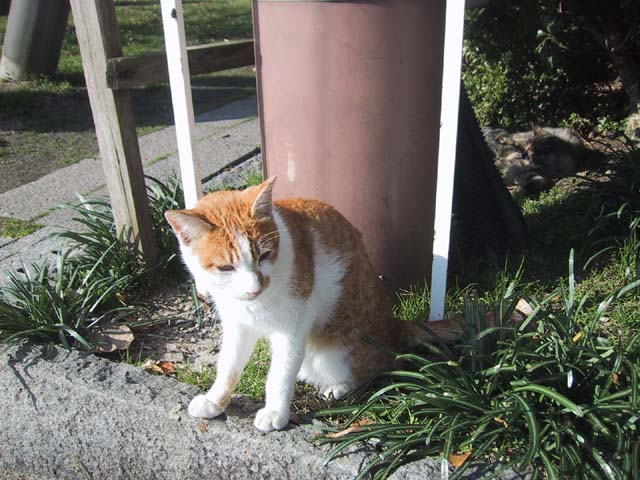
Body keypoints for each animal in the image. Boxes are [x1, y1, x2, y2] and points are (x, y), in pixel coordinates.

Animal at [168, 178, 402, 434]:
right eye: (225, 268)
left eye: (265, 255)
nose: (254, 288)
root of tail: (396, 328)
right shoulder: (237, 324)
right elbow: (228, 365)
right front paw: (215, 400)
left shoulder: (293, 325)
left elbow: (279, 374)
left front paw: (274, 412)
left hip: (339, 351)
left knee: (373, 366)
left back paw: (340, 385)